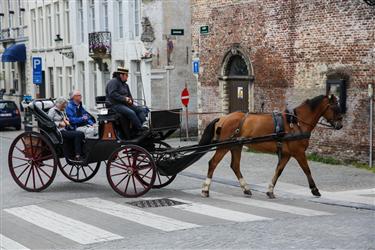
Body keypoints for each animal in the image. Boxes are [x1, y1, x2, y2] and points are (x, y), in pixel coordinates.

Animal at [201, 94, 346, 198]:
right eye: (334, 107)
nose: (340, 125)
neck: (297, 122)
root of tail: (223, 118)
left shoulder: (287, 154)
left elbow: (279, 170)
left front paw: (270, 190)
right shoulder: (298, 152)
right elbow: (307, 170)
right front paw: (315, 189)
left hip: (236, 146)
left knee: (235, 166)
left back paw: (246, 188)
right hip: (224, 146)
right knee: (213, 163)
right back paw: (205, 189)